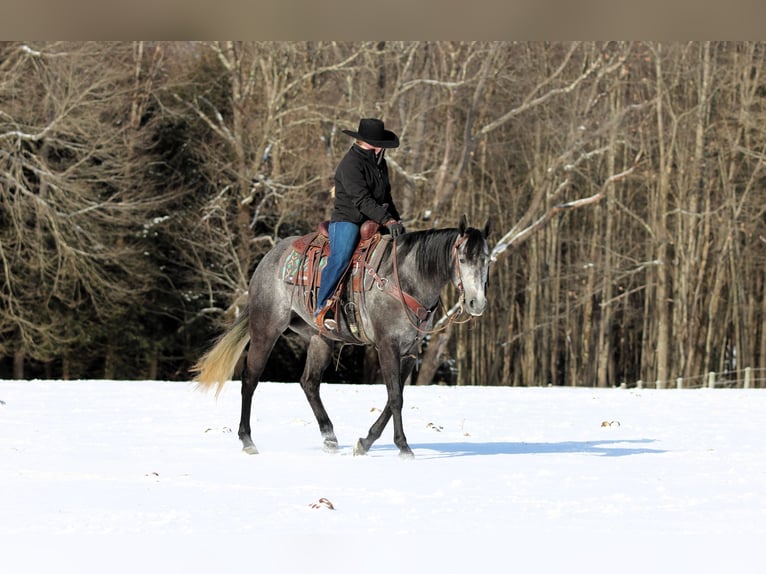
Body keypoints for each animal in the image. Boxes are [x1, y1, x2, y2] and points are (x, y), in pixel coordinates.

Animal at [194, 214, 492, 462]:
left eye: (487, 260)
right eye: (462, 259)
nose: (477, 303)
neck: (406, 279)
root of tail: (269, 258)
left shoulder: (410, 350)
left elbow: (394, 397)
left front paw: (365, 442)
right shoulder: (387, 345)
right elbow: (395, 397)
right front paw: (403, 447)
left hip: (320, 339)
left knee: (309, 383)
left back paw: (329, 437)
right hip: (266, 329)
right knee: (250, 379)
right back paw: (247, 441)